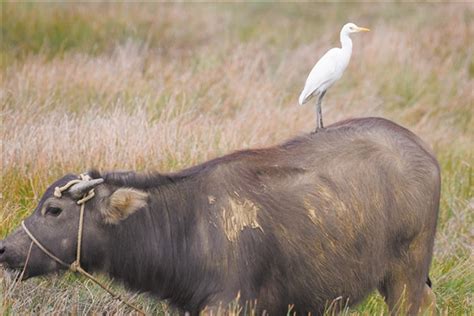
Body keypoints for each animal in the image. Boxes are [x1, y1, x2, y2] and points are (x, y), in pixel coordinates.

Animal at [0, 118, 438, 314]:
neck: (188, 225)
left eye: (54, 210)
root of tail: (425, 153)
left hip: (406, 275)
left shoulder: (229, 304)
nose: (5, 249)